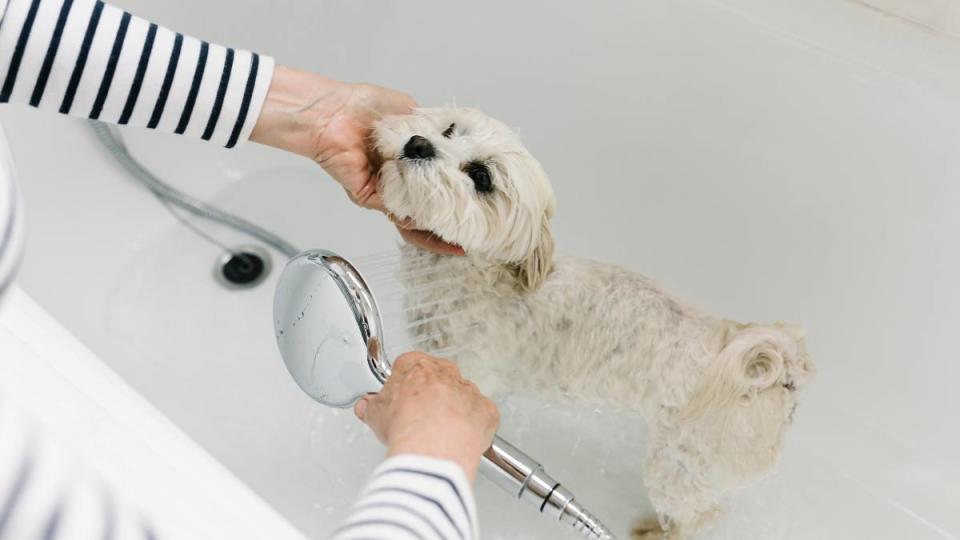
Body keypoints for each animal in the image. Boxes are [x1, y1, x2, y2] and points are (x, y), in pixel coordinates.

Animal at [372, 107, 812, 536]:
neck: (473, 274)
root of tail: (781, 370)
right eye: (449, 129)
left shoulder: (469, 372)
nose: (418, 144)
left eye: (481, 178)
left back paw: (655, 530)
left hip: (681, 464)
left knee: (700, 512)